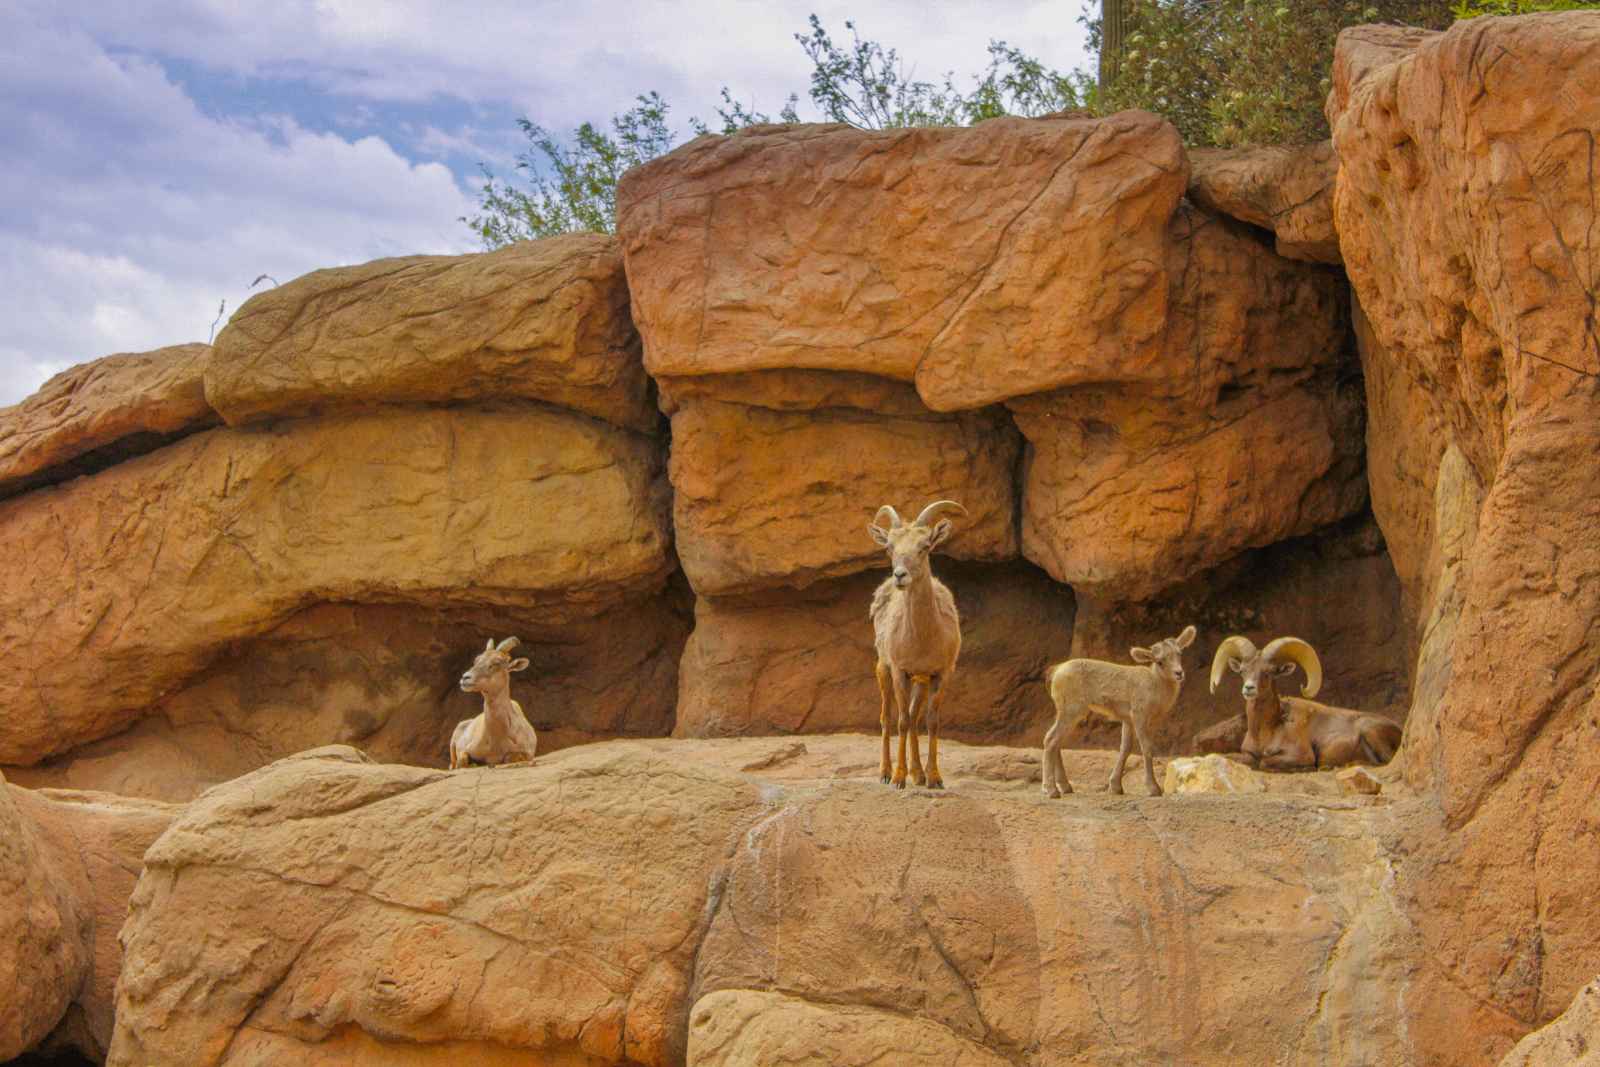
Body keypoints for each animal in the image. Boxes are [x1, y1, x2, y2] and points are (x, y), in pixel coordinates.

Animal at [448, 639, 540, 771]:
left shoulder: (527, 753)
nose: (465, 678)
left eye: (497, 663)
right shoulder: (465, 751)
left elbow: (509, 757)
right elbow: (463, 761)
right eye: (477, 660)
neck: (497, 740)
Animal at [870, 502, 966, 793]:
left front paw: (934, 778)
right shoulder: (899, 671)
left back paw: (919, 774)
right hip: (883, 670)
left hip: (920, 681)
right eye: (890, 547)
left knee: (914, 716)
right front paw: (898, 779)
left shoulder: (941, 674)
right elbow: (900, 721)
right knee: (887, 717)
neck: (922, 640)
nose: (900, 575)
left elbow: (931, 722)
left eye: (924, 546)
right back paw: (885, 773)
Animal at [1043, 627, 1196, 799]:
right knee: (1051, 739)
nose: (1179, 673)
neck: (1155, 686)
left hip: (1065, 711)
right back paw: (1051, 790)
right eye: (1159, 661)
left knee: (1057, 741)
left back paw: (1066, 787)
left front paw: (1116, 787)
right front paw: (1154, 789)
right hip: (1071, 709)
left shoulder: (1127, 719)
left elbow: (1125, 748)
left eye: (1179, 653)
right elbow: (1146, 747)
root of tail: (1055, 672)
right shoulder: (1139, 714)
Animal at [1209, 639, 1401, 771]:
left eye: (1269, 672)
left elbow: (1263, 762)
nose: (1249, 688)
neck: (1267, 729)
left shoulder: (1301, 755)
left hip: (1369, 730)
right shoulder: (1246, 754)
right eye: (1242, 671)